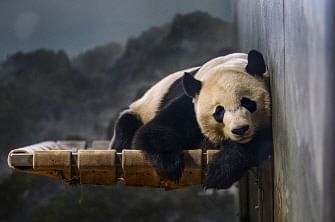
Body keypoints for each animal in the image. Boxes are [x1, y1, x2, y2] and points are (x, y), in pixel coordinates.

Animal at [110, 50, 272, 189]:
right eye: (219, 111)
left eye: (247, 102)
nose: (240, 130)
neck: (225, 65)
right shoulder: (191, 105)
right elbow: (154, 129)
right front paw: (170, 165)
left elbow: (261, 140)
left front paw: (218, 171)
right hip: (140, 110)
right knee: (126, 126)